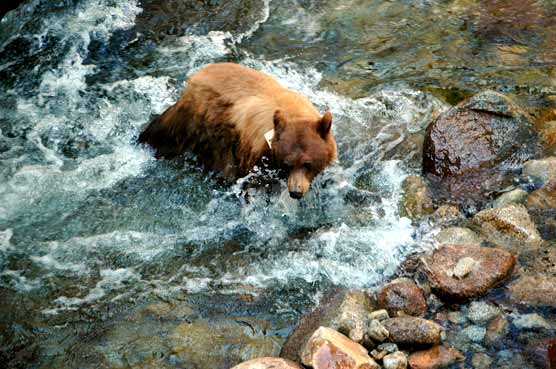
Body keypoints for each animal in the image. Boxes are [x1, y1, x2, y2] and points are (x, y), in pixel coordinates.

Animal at [139, 62, 338, 198]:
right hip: (195, 125)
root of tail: (192, 80)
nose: (296, 192)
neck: (292, 113)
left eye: (307, 163)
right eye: (287, 163)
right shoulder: (253, 154)